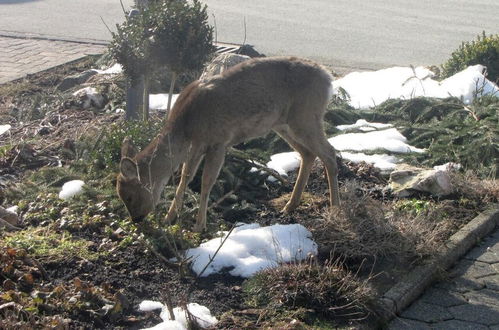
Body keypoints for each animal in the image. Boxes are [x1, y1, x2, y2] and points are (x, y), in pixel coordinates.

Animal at [118, 56, 340, 232]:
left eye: (128, 196)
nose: (136, 220)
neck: (186, 126)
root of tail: (328, 79)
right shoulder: (197, 146)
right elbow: (185, 178)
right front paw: (168, 218)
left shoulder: (219, 141)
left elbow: (206, 182)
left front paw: (199, 226)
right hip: (283, 124)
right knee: (308, 154)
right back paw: (290, 206)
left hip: (306, 116)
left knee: (329, 153)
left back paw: (334, 207)